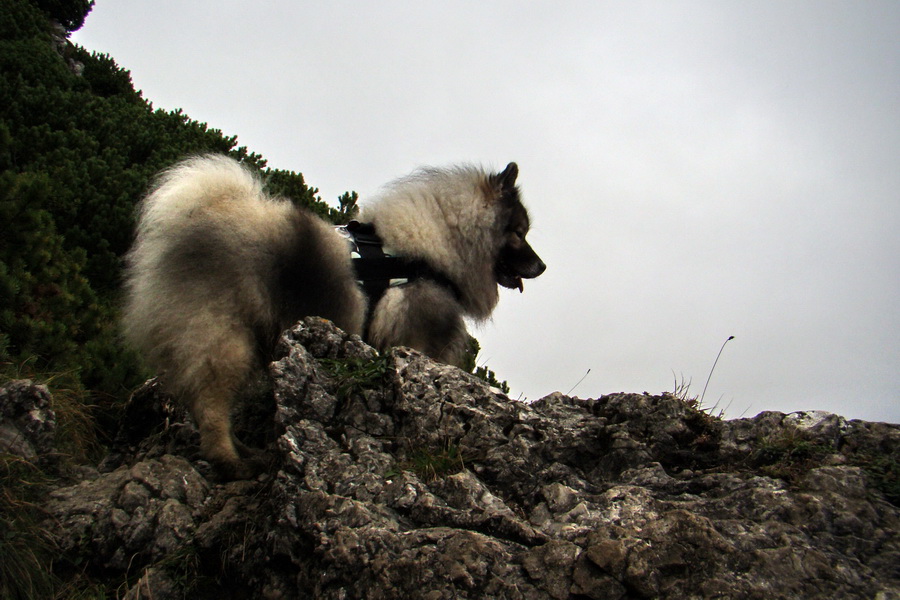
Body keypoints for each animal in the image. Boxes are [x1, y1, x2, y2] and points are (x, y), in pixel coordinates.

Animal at [123, 155, 544, 478]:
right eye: (519, 233)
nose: (542, 266)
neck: (427, 252)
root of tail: (193, 221)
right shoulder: (419, 338)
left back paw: (245, 451)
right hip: (223, 341)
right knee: (211, 410)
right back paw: (233, 463)